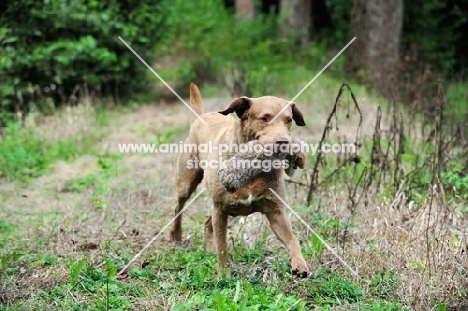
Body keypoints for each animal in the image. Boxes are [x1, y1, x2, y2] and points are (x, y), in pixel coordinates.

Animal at [170, 83, 308, 278]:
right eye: (264, 118)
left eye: (289, 120)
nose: (284, 142)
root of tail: (200, 117)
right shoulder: (220, 209)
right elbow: (223, 247)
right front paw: (223, 275)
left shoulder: (275, 212)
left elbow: (293, 239)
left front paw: (299, 263)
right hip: (186, 183)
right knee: (178, 207)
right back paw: (176, 236)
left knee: (207, 224)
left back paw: (208, 249)